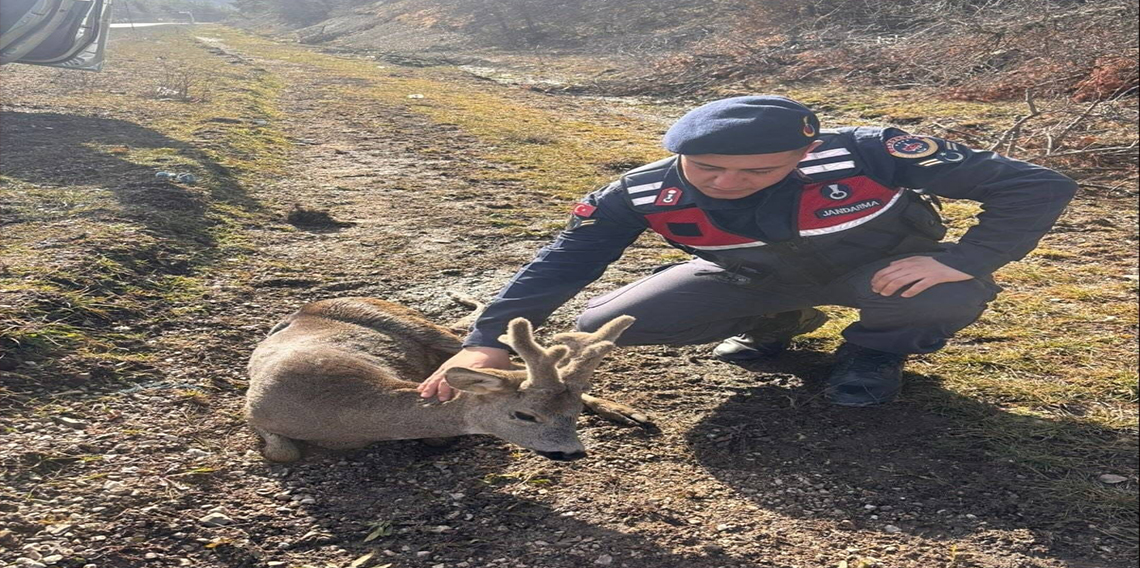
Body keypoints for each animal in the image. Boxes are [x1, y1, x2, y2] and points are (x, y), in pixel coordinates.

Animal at [243, 296, 647, 460]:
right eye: (524, 415)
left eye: (573, 415)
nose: (573, 452)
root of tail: (305, 308)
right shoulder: (253, 408)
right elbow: (282, 453)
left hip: (421, 326)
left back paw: (627, 412)